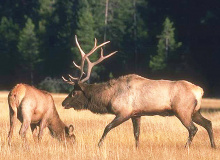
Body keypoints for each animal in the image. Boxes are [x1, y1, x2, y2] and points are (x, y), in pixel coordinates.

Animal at [62, 35, 217, 149]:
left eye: (74, 93)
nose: (63, 103)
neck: (108, 97)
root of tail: (200, 91)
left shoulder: (123, 112)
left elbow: (107, 127)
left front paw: (99, 145)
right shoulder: (136, 114)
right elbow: (136, 134)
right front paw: (137, 148)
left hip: (182, 110)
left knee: (193, 129)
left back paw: (186, 147)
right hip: (194, 111)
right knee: (208, 123)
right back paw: (213, 146)